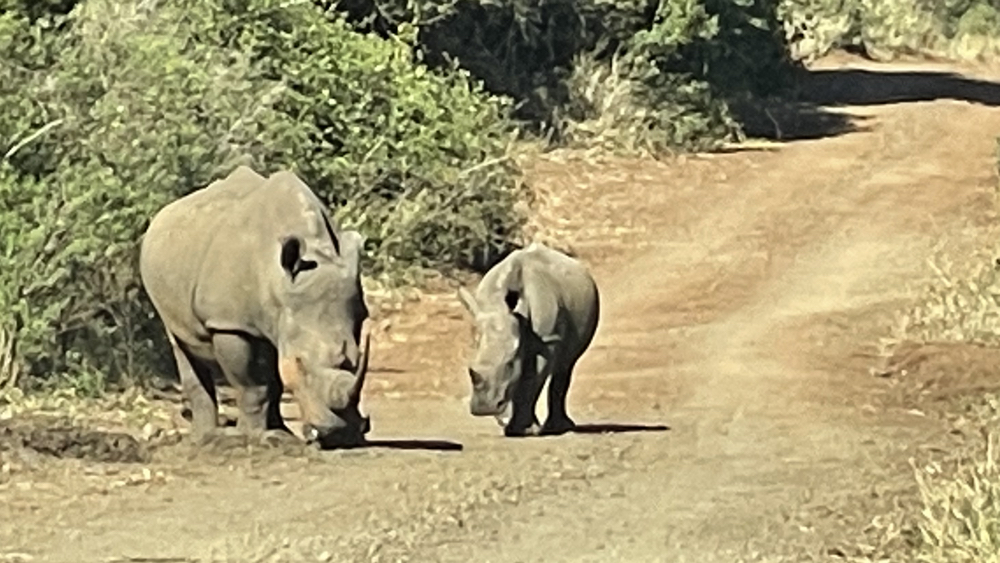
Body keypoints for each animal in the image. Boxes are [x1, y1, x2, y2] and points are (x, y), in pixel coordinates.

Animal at [139, 166, 372, 447]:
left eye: (357, 359)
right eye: (300, 363)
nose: (341, 436)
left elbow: (276, 381)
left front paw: (280, 434)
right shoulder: (230, 323)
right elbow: (252, 384)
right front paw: (252, 437)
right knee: (180, 342)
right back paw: (203, 439)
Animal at [457, 242, 600, 437]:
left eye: (510, 363)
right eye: (471, 369)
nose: (484, 408)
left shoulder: (547, 341)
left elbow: (531, 379)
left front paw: (523, 430)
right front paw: (507, 421)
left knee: (566, 364)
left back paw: (559, 427)